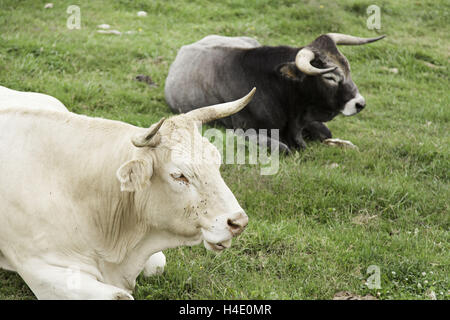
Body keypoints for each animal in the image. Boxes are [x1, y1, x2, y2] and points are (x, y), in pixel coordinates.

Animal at [0, 88, 253, 300]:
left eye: (216, 162)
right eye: (179, 175)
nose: (238, 222)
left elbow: (157, 266)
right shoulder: (42, 271)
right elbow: (119, 296)